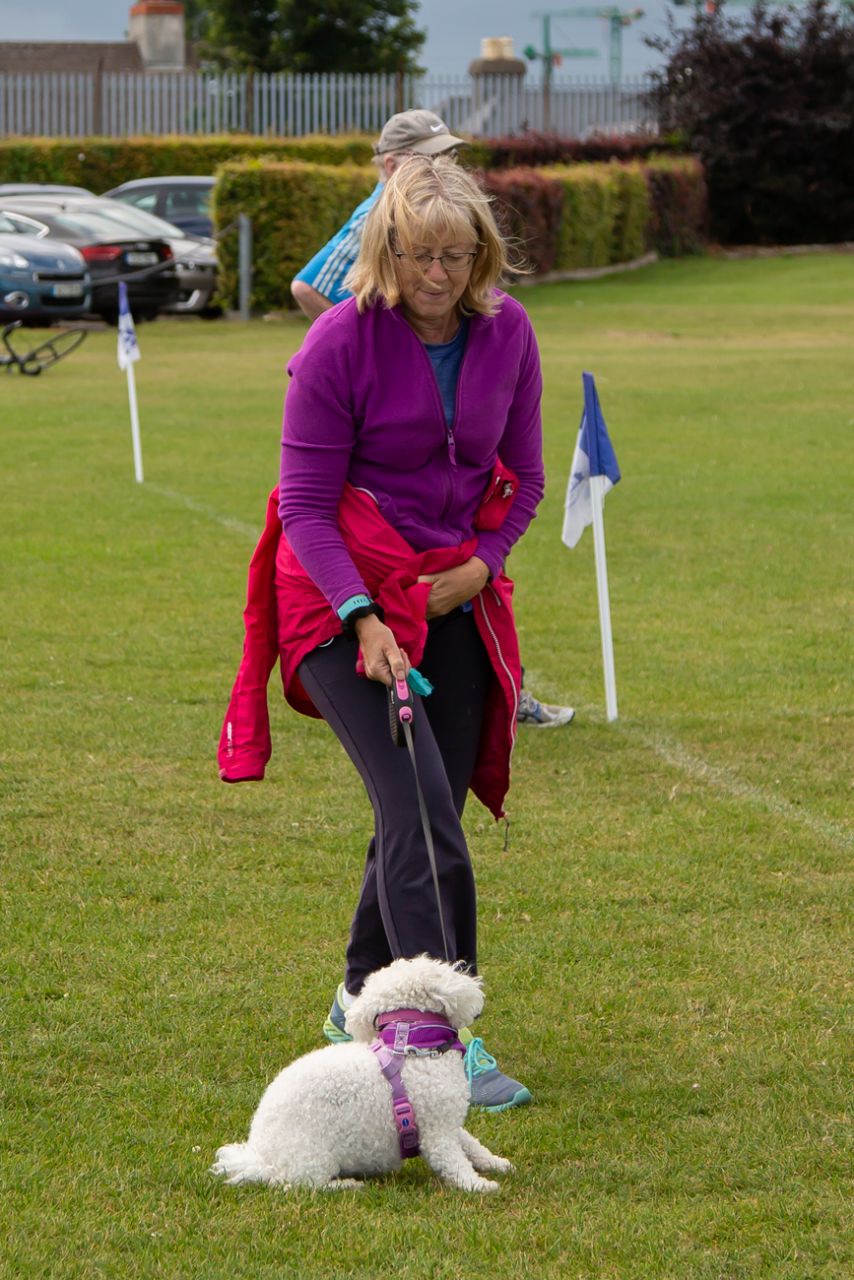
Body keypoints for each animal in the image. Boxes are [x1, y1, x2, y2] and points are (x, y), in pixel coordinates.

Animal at [212, 962, 514, 1187]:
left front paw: (494, 1162)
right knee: (300, 1185)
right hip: (313, 1157)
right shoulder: (436, 1130)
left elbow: (471, 1142)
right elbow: (453, 1162)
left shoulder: (447, 1120)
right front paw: (479, 1185)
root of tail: (261, 1158)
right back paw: (346, 1185)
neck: (411, 1044)